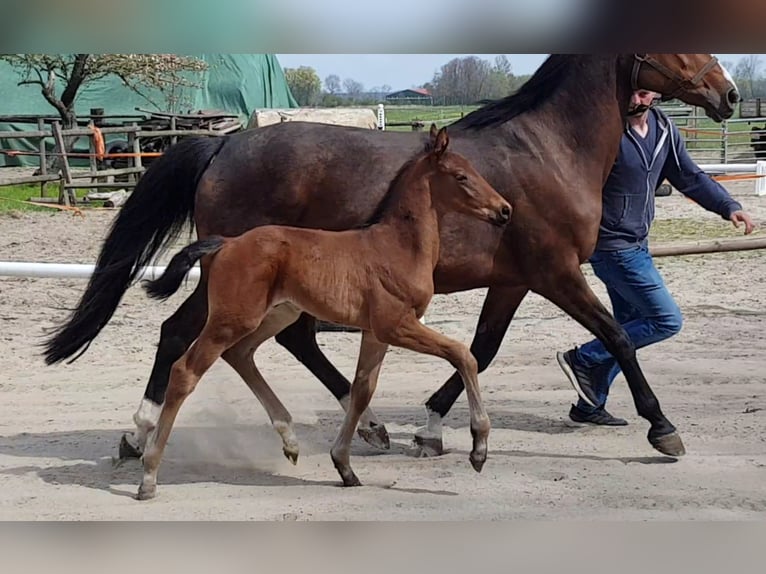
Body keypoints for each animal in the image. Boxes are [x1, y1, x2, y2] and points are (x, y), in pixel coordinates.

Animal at [136, 127, 512, 500]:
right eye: (461, 176)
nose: (505, 210)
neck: (398, 245)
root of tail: (227, 243)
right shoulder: (395, 325)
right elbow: (463, 355)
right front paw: (479, 448)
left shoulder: (374, 332)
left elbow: (362, 390)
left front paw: (345, 465)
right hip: (233, 319)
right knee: (185, 371)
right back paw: (148, 474)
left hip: (277, 314)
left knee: (240, 353)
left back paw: (289, 442)